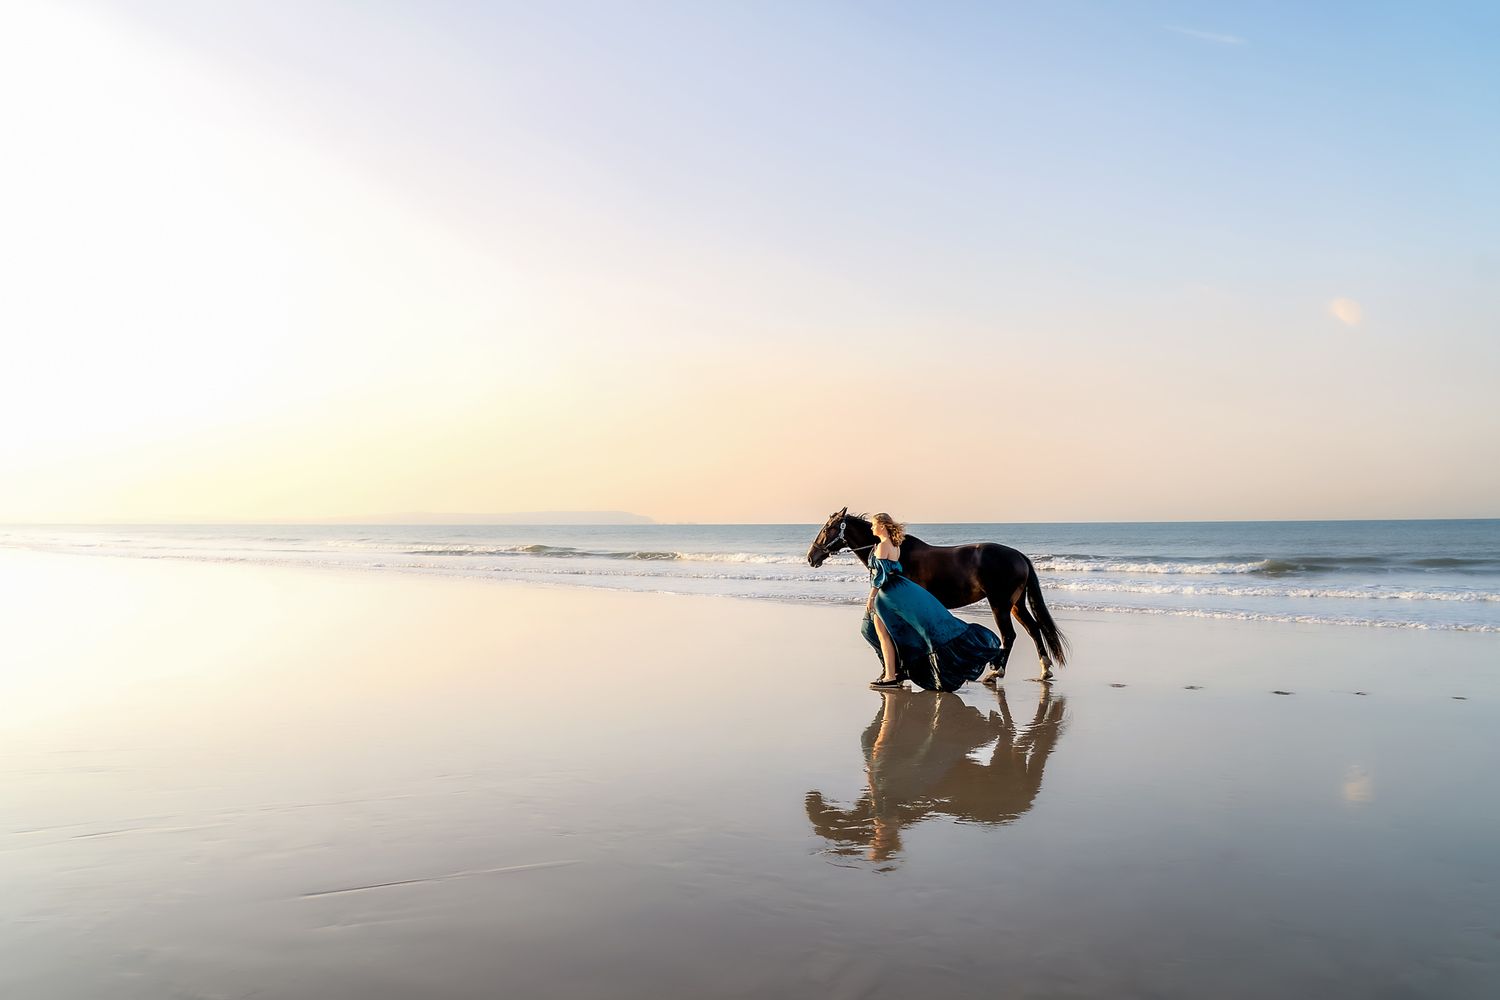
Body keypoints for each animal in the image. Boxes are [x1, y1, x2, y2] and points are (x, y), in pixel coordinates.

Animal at [806, 507, 1069, 680]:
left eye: (828, 528)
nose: (811, 557)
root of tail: (1019, 555)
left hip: (1000, 604)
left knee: (1009, 635)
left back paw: (996, 672)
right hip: (1015, 605)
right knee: (1033, 629)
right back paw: (1044, 669)